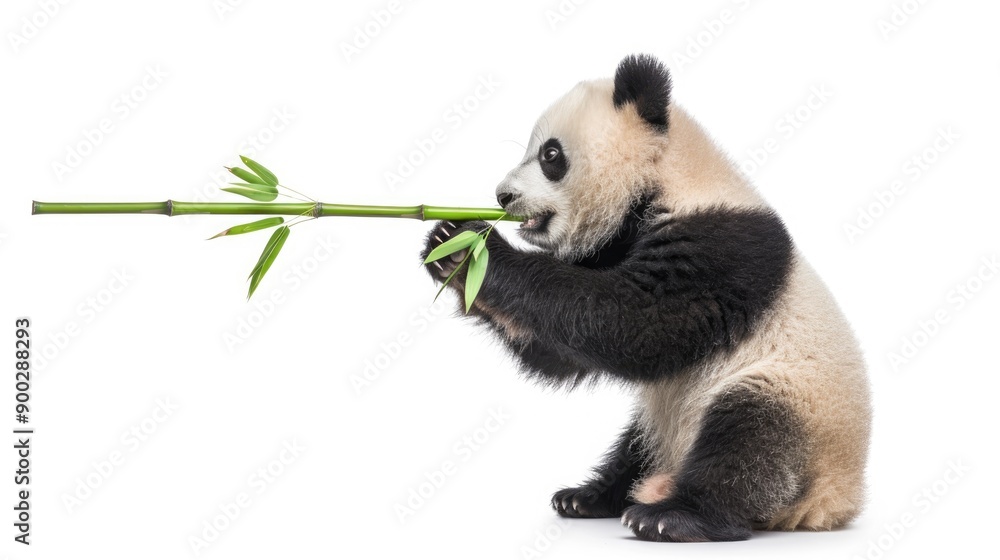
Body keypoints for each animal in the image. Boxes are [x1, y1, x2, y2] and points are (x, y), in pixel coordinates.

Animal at [421, 54, 871, 542]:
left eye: (550, 155)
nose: (503, 196)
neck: (670, 175)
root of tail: (837, 502)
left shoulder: (719, 248)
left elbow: (630, 323)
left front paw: (478, 249)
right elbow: (563, 348)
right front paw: (447, 247)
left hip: (793, 400)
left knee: (749, 443)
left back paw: (671, 515)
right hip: (664, 415)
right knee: (636, 443)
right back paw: (591, 495)